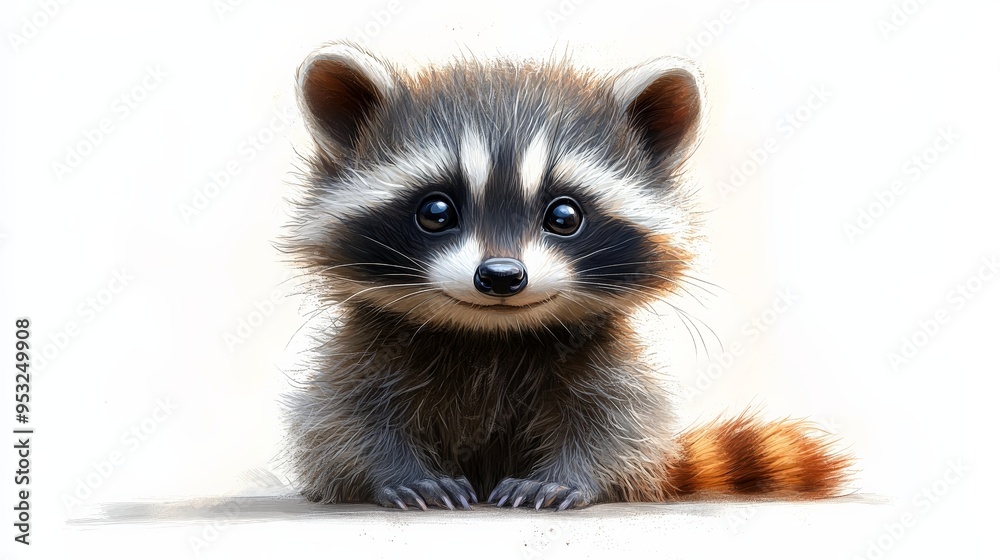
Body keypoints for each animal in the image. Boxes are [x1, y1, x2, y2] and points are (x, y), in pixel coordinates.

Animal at [280, 42, 851, 510]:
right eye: (435, 211)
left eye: (564, 215)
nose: (501, 276)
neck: (493, 335)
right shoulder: (370, 349)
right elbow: (343, 418)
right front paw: (401, 473)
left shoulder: (602, 354)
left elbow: (617, 421)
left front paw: (566, 478)